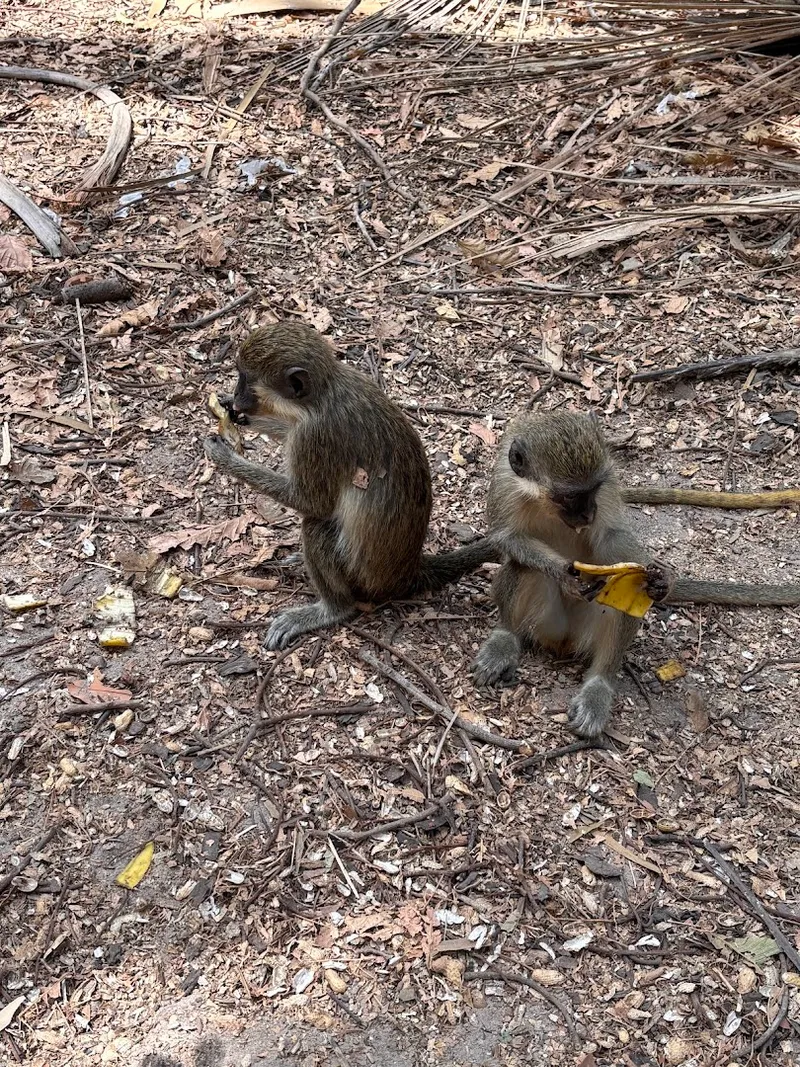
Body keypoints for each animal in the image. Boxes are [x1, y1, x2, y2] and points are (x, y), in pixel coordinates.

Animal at [203, 322, 498, 650]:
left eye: (246, 379)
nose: (238, 395)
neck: (322, 395)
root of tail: (408, 572)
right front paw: (238, 414)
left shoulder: (315, 437)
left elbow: (313, 503)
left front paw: (225, 457)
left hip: (362, 579)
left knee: (316, 526)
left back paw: (332, 608)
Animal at [472, 410, 800, 739]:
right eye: (569, 497)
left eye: (592, 490)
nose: (587, 514)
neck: (539, 499)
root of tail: (563, 642)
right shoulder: (504, 485)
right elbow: (506, 538)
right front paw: (565, 575)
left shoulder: (607, 489)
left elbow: (612, 536)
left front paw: (663, 577)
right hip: (545, 624)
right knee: (522, 566)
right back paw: (505, 639)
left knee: (628, 590)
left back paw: (600, 684)